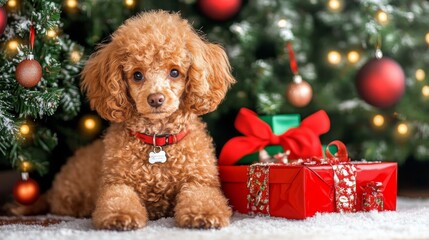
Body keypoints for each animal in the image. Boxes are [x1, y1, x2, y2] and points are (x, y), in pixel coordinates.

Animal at [8, 9, 234, 231]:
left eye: (175, 72)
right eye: (137, 75)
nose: (155, 99)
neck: (156, 140)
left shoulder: (200, 182)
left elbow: (203, 197)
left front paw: (204, 214)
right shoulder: (116, 183)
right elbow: (118, 200)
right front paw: (120, 217)